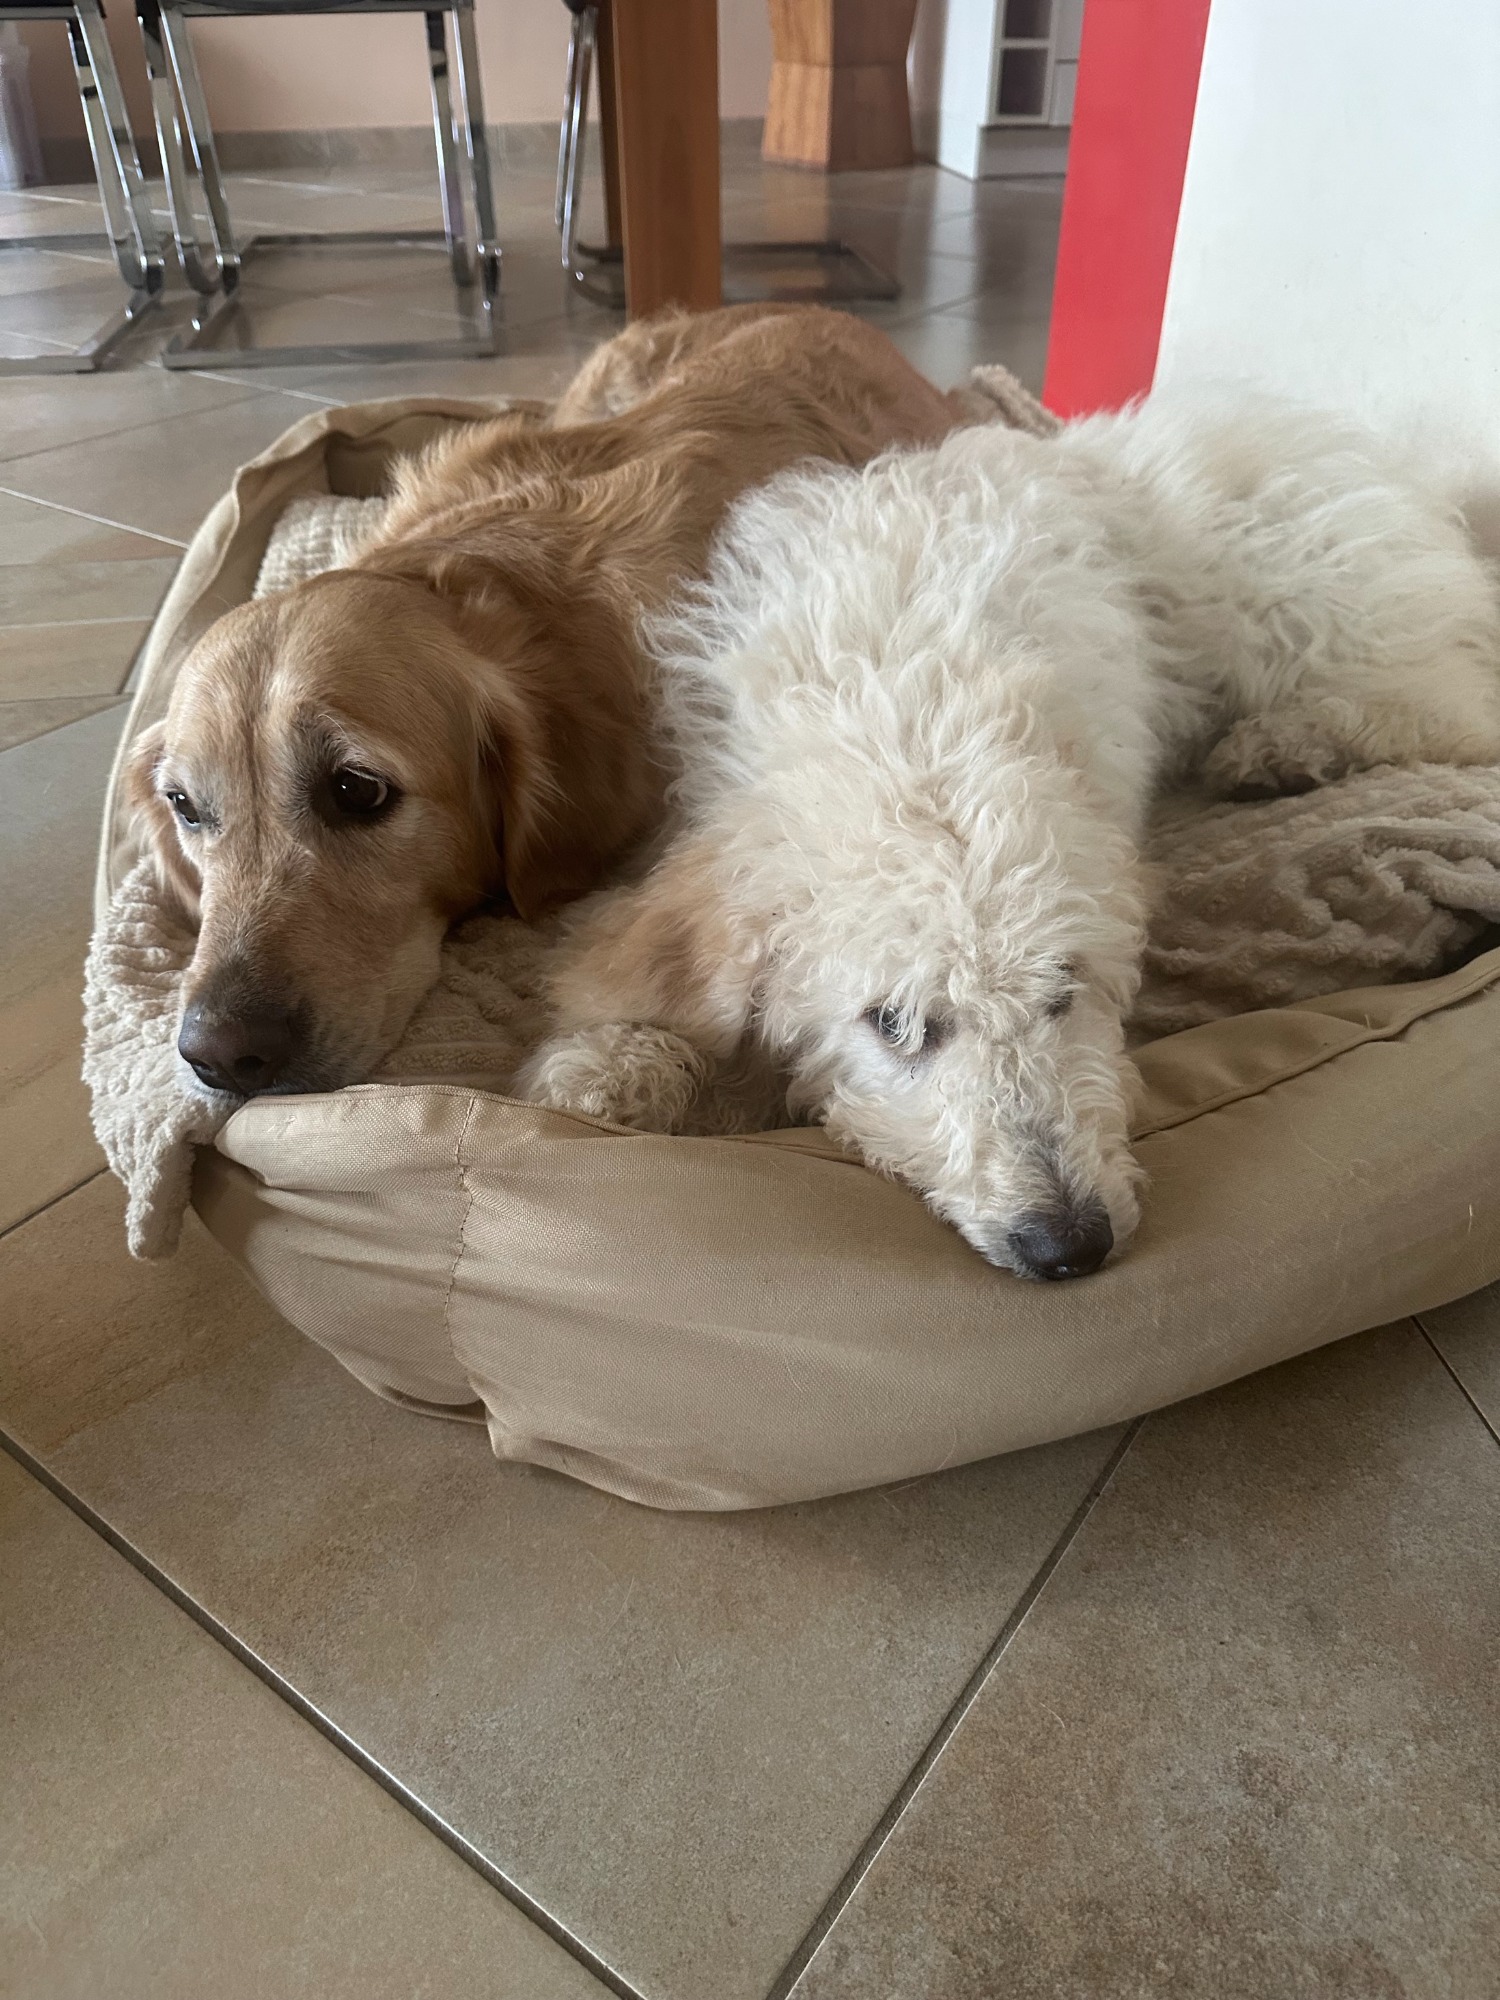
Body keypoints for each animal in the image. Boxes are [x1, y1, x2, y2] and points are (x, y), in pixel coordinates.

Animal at [521, 392, 1500, 1277]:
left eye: (1064, 988)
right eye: (894, 1023)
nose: (1070, 1247)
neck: (914, 719)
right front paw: (615, 1069)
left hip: (1316, 619)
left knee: (1453, 714)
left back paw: (1289, 745)